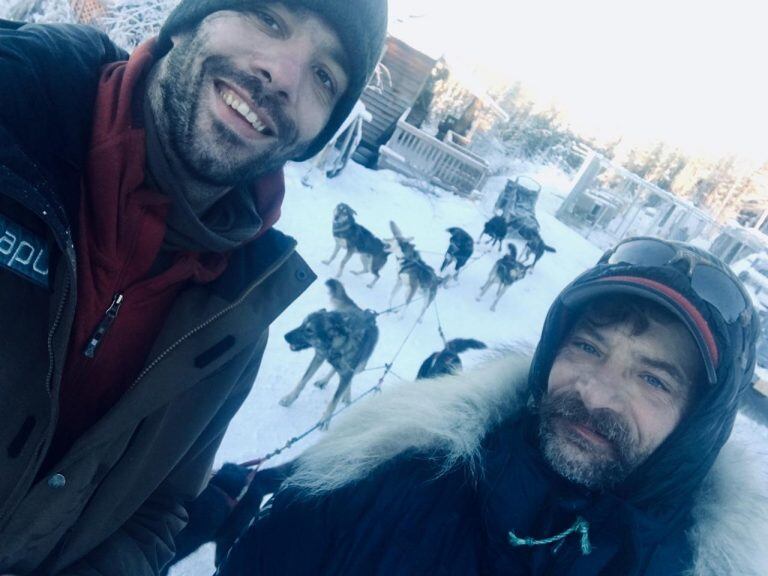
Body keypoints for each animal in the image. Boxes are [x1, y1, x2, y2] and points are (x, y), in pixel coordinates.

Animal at [280, 282, 380, 430]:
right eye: (302, 324)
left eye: (309, 330)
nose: (285, 336)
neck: (337, 345)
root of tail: (368, 314)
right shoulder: (319, 357)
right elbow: (302, 382)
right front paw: (289, 398)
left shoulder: (347, 370)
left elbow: (335, 399)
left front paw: (325, 419)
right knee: (335, 370)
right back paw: (324, 381)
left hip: (360, 366)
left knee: (350, 375)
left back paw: (346, 394)